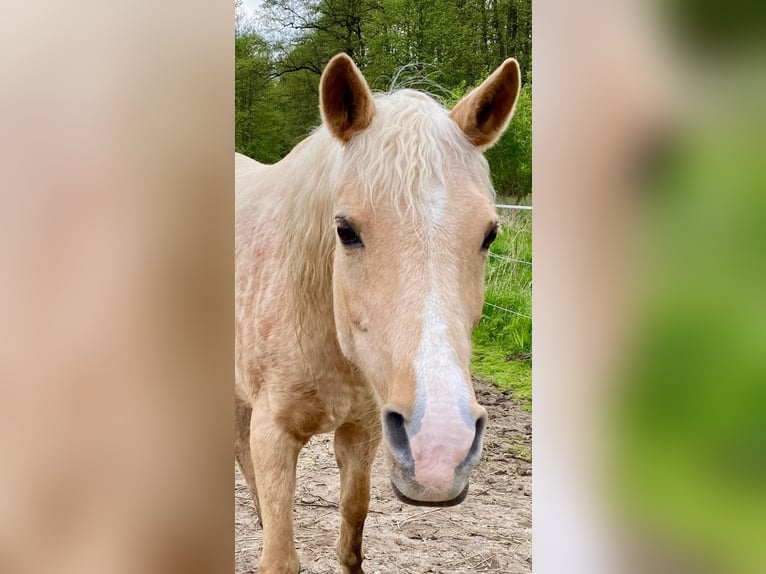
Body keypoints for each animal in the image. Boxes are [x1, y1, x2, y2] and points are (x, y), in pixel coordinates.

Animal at [234, 55, 520, 574]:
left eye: (490, 233)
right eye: (345, 230)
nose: (439, 448)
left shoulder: (362, 430)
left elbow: (352, 534)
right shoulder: (274, 435)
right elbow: (280, 557)